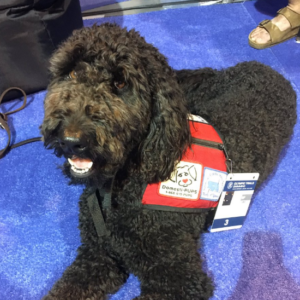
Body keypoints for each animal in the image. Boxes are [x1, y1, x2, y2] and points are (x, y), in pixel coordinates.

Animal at [41, 24, 296, 300]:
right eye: (72, 72)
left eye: (120, 83)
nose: (71, 139)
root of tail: (267, 67)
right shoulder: (96, 255)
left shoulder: (177, 278)